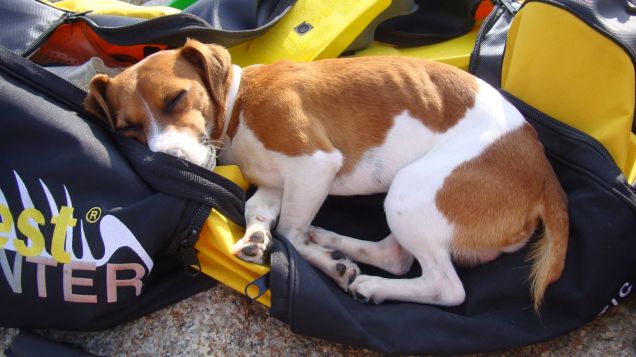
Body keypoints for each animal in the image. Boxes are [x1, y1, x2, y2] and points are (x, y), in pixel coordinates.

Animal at [85, 37, 572, 308]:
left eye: (176, 98)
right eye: (127, 129)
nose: (170, 160)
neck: (240, 102)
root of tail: (547, 177)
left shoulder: (312, 164)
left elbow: (290, 233)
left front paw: (316, 259)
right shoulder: (276, 183)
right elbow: (261, 214)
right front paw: (258, 239)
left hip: (410, 192)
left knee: (445, 288)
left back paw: (365, 281)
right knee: (395, 256)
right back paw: (335, 243)